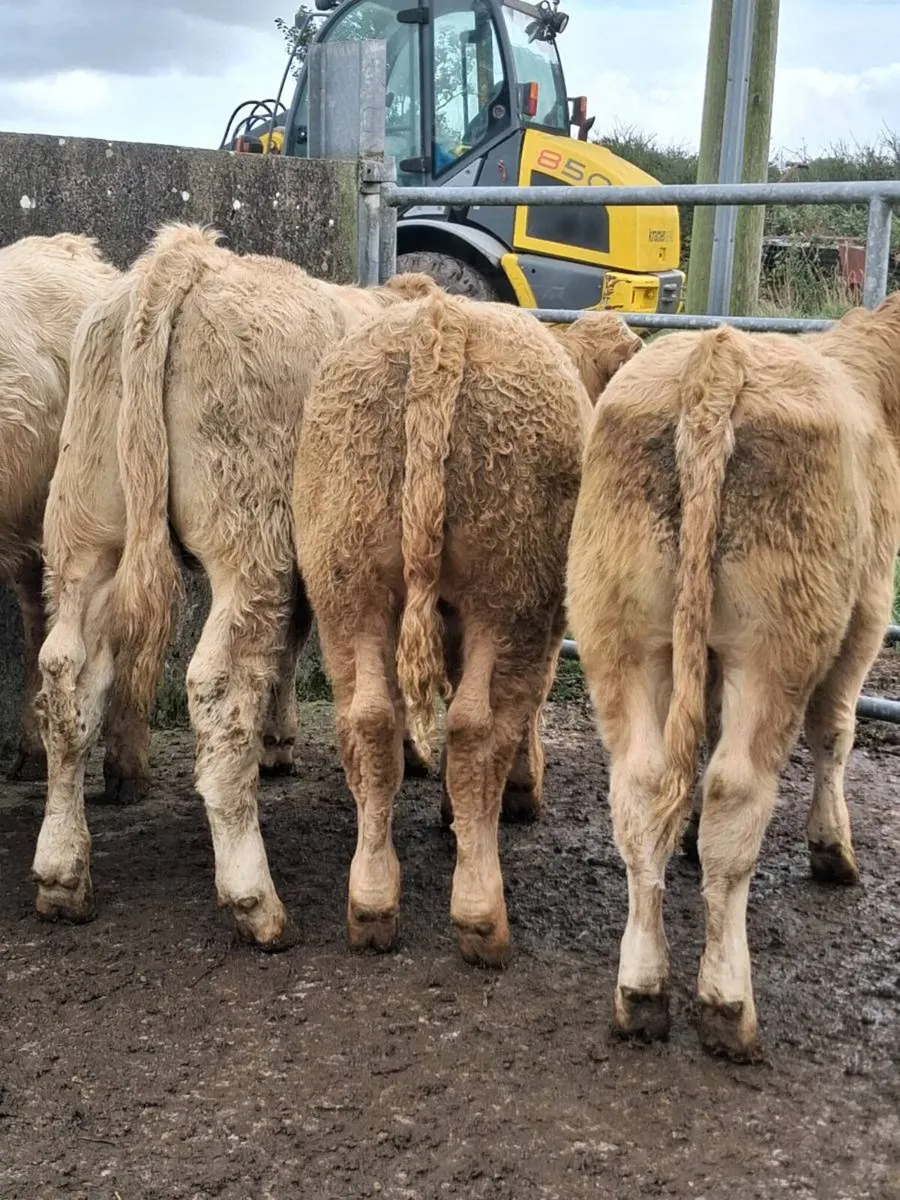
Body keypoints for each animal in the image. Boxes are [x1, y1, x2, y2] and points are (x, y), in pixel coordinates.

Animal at [32, 223, 439, 943]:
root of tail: (188, 258)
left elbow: (292, 646)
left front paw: (278, 743)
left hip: (85, 539)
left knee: (66, 679)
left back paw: (61, 874)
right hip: (250, 542)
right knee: (217, 685)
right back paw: (255, 898)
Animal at [292, 291, 640, 966]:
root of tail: (440, 321)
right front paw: (520, 792)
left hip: (347, 586)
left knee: (370, 720)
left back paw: (371, 901)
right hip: (513, 594)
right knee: (478, 726)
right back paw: (481, 913)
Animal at [566, 295, 900, 1061]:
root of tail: (715, 358)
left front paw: (686, 838)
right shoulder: (868, 612)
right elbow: (836, 729)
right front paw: (832, 847)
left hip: (622, 632)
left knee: (643, 786)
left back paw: (641, 990)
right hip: (774, 647)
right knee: (737, 789)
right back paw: (725, 1001)